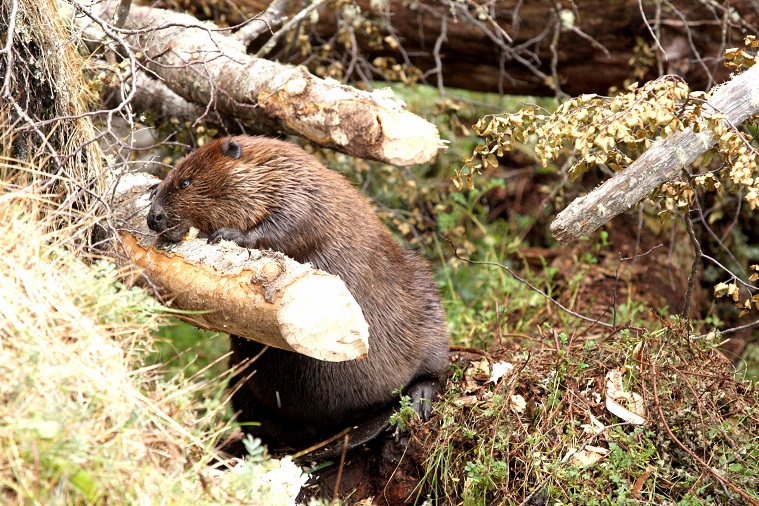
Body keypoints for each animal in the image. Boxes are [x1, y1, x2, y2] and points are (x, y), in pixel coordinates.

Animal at [145, 135, 448, 454]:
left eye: (185, 182)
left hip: (424, 296)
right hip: (240, 377)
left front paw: (227, 234)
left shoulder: (301, 193)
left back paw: (419, 400)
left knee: (436, 368)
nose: (154, 218)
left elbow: (290, 224)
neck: (271, 169)